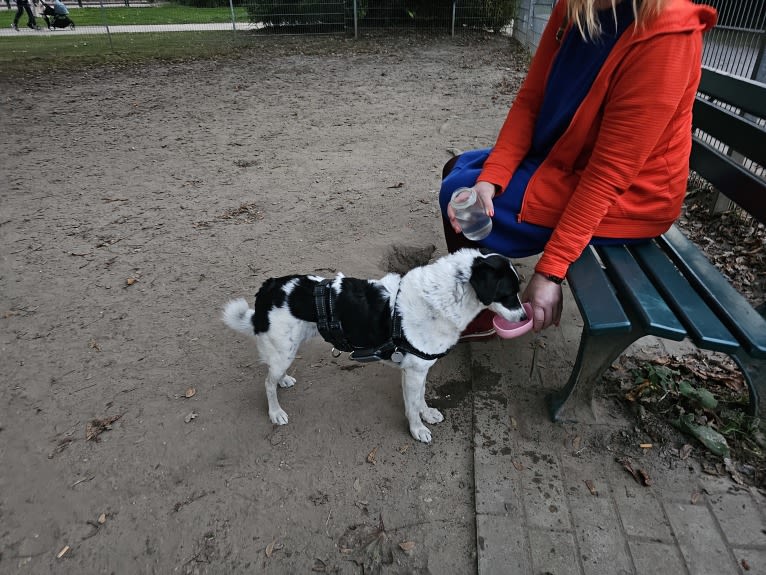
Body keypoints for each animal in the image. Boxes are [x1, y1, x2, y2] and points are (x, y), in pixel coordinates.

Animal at [219, 249, 524, 446]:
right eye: (508, 293)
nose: (524, 317)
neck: (442, 297)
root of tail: (270, 286)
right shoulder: (414, 371)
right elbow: (412, 405)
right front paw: (417, 429)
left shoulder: (419, 369)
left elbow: (420, 398)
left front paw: (427, 414)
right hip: (283, 350)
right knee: (267, 383)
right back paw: (275, 412)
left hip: (288, 348)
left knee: (274, 374)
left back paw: (284, 380)